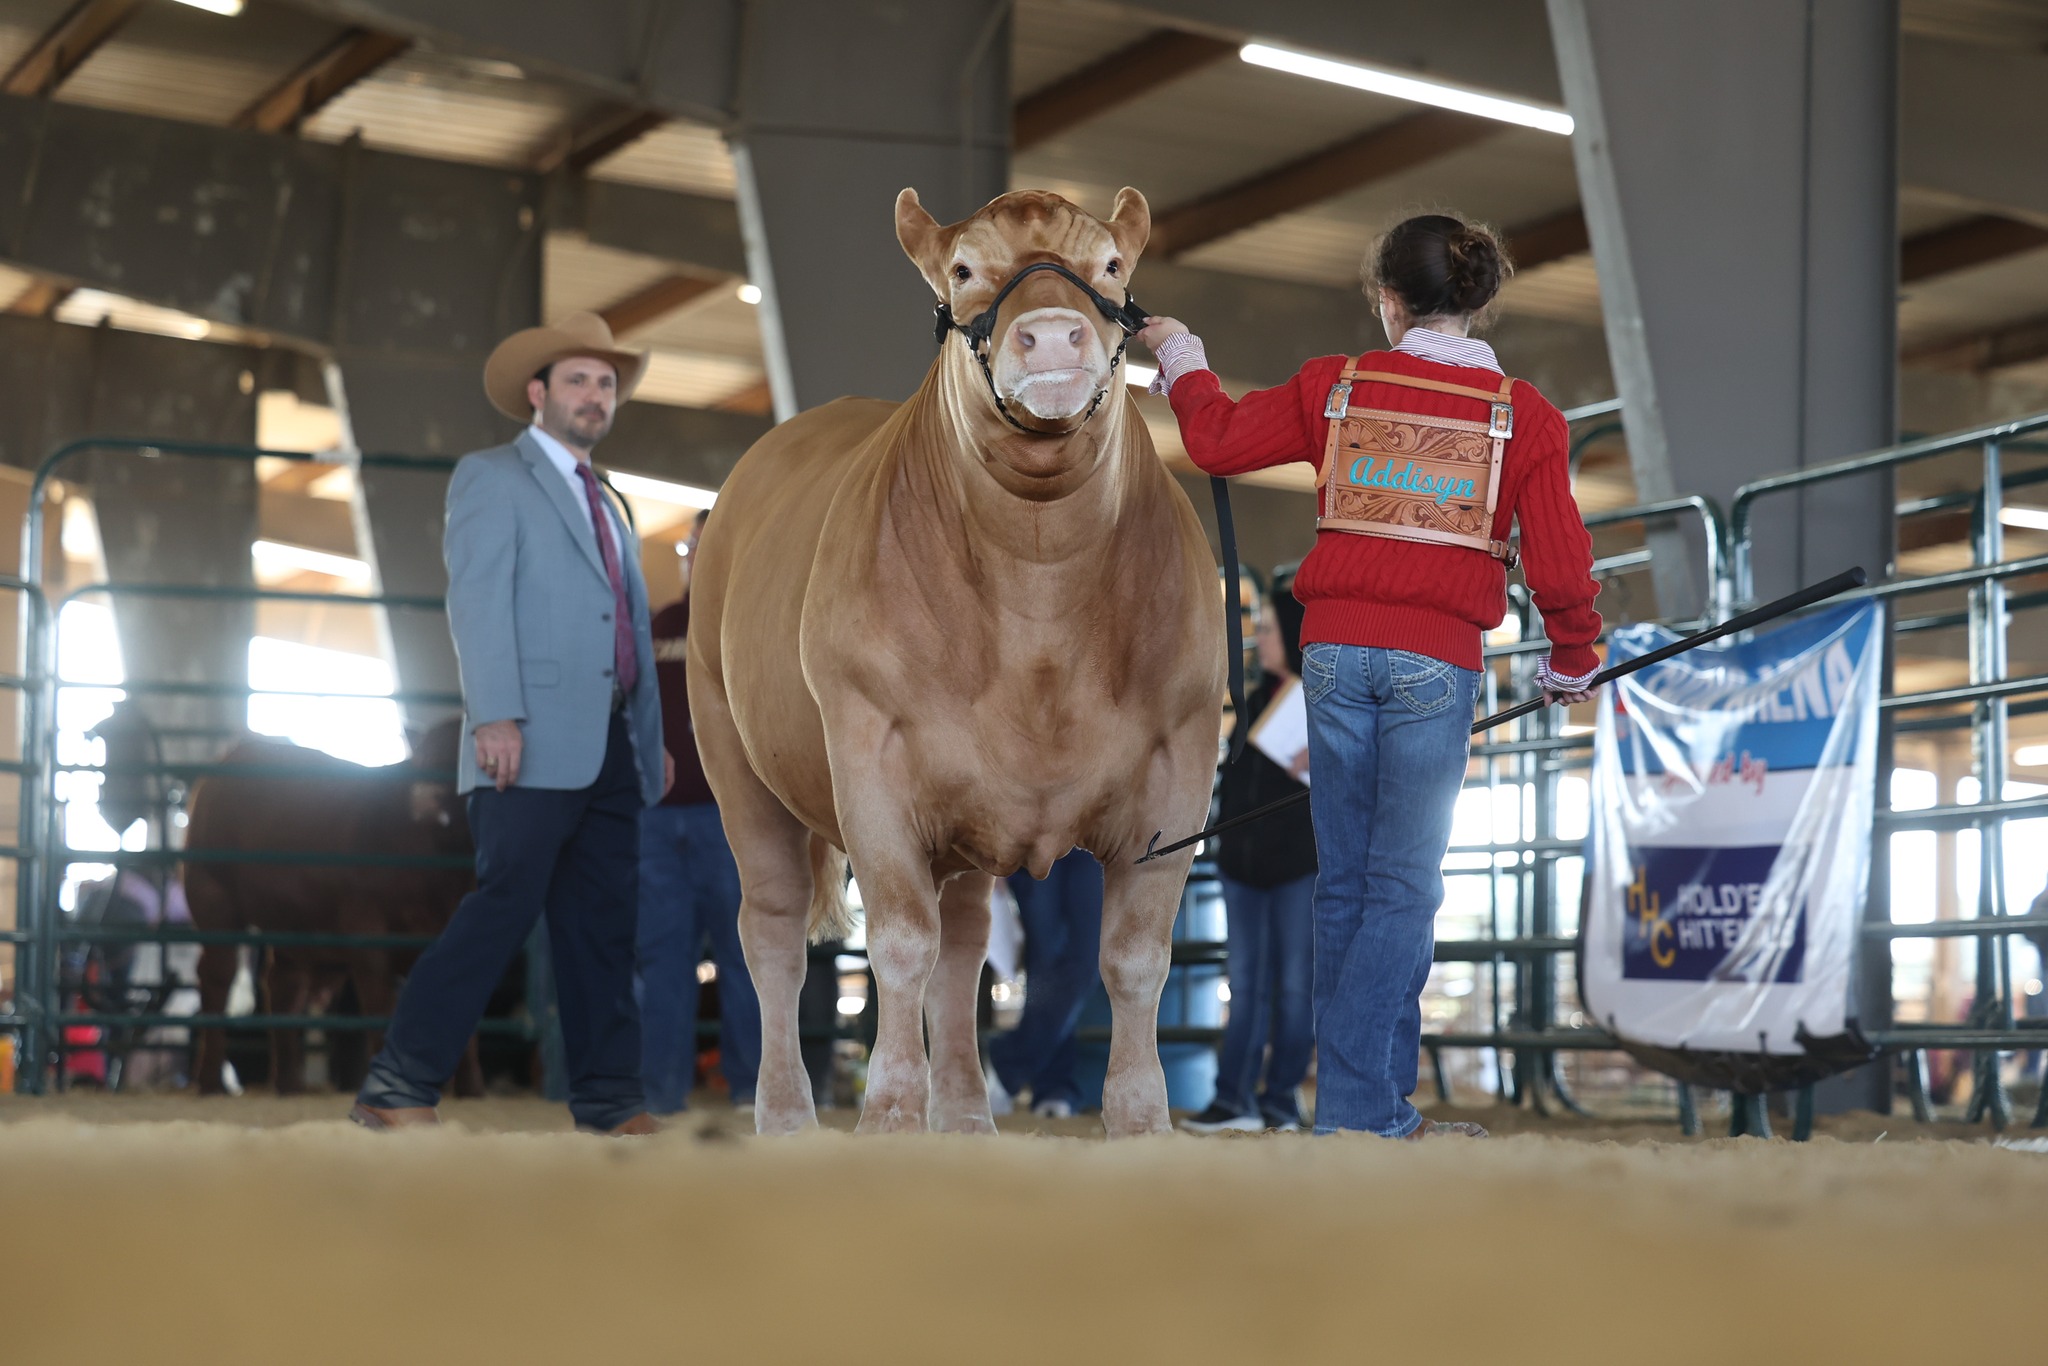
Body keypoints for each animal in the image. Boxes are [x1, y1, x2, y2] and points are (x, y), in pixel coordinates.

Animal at [183, 720, 483, 1097]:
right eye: (426, 762)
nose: (425, 801)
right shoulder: (366, 930)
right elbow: (379, 1006)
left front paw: (471, 1089)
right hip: (211, 895)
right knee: (217, 975)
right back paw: (210, 1081)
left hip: (291, 922)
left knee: (283, 985)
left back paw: (290, 1083)